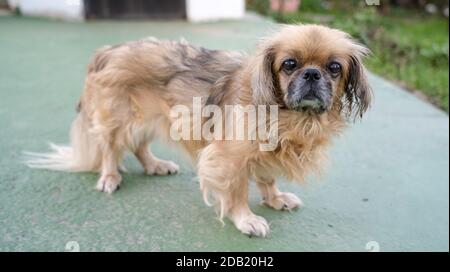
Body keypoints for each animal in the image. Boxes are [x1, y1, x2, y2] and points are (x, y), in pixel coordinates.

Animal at [28, 24, 372, 237]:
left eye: (335, 68)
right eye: (289, 64)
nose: (312, 73)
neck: (290, 116)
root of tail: (109, 50)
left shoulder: (263, 152)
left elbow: (267, 178)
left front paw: (275, 199)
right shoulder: (230, 157)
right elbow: (237, 191)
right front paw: (245, 219)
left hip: (155, 117)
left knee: (139, 146)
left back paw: (155, 165)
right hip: (119, 118)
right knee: (111, 149)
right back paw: (110, 177)